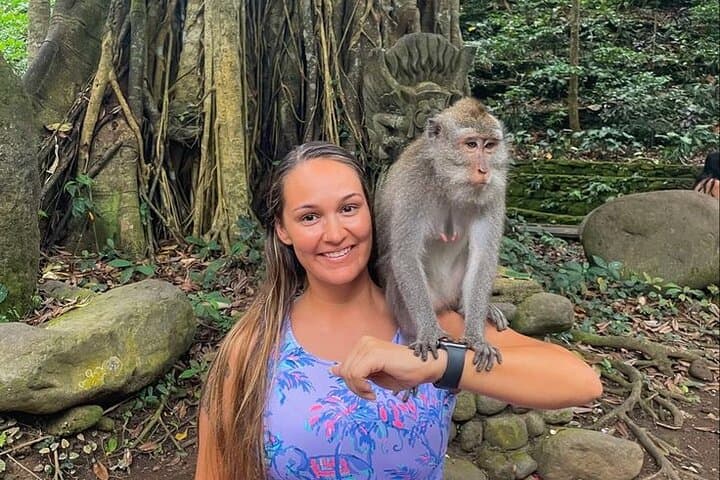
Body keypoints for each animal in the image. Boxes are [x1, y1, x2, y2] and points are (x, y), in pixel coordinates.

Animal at [375, 97, 509, 372]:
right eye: (471, 144)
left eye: (490, 145)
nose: (484, 170)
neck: (446, 181)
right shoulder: (413, 184)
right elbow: (405, 256)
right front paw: (429, 333)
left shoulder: (494, 191)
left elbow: (483, 258)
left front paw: (476, 338)